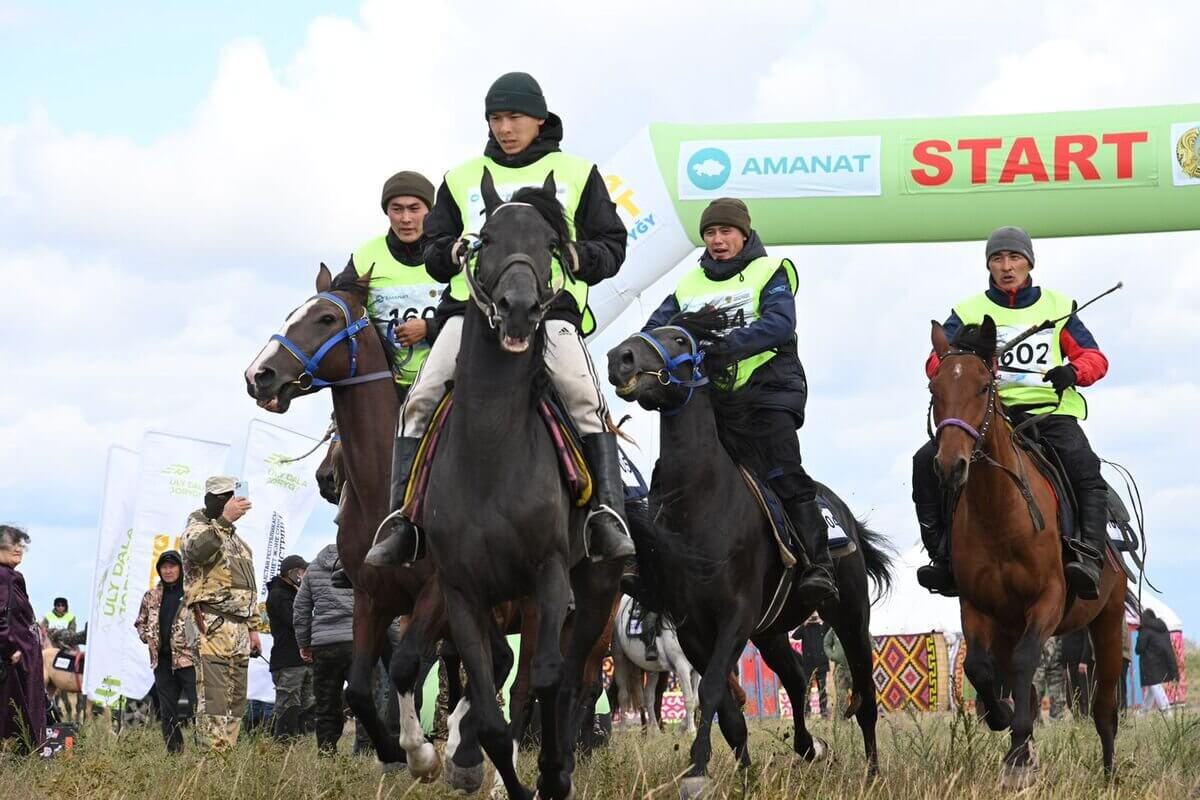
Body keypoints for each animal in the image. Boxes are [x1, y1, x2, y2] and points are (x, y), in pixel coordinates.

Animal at [420, 170, 624, 800]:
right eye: (485, 240)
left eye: (551, 245)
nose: (517, 308)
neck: (491, 453)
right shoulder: (461, 593)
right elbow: (487, 710)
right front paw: (481, 769)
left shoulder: (548, 576)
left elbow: (548, 681)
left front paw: (552, 775)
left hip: (592, 596)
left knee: (573, 681)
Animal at [604, 309, 897, 796]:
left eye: (679, 339)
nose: (618, 358)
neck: (701, 500)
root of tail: (844, 516)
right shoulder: (693, 629)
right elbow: (726, 707)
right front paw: (741, 773)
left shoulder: (735, 616)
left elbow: (709, 693)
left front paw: (698, 769)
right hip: (771, 630)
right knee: (795, 675)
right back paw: (809, 747)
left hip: (850, 615)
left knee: (865, 696)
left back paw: (873, 773)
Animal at [926, 316, 1123, 786]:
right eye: (934, 388)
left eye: (983, 386)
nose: (950, 466)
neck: (999, 512)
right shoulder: (977, 607)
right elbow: (980, 669)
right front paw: (1004, 727)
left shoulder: (1048, 600)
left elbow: (1025, 661)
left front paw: (1016, 754)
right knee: (1024, 687)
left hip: (1108, 621)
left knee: (1104, 706)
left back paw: (1108, 774)